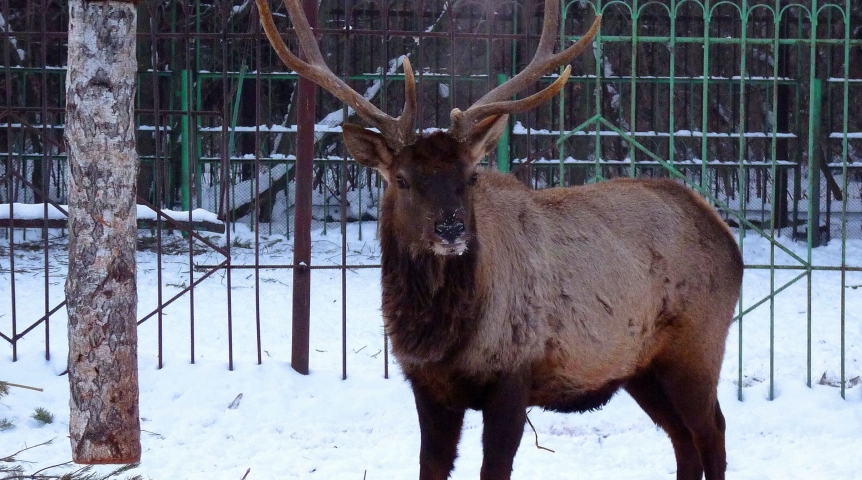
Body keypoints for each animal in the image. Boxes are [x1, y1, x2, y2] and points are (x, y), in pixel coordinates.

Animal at [255, 1, 743, 479]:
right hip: (642, 367)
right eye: (402, 179)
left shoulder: (514, 375)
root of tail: (725, 235)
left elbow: (496, 465)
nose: (451, 230)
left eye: (472, 176)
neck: (444, 339)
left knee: (713, 431)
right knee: (684, 441)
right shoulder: (427, 385)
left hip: (697, 348)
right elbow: (431, 464)